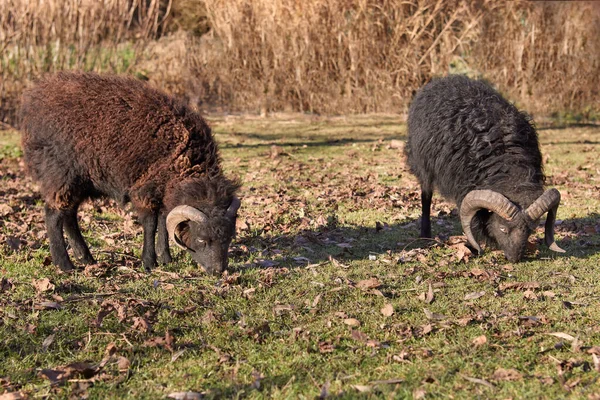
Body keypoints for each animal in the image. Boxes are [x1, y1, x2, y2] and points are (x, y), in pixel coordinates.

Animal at [21, 72, 241, 274]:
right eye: (202, 239)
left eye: (229, 238)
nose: (219, 271)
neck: (186, 160)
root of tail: (33, 104)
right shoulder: (145, 190)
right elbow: (151, 224)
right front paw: (149, 262)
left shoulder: (161, 190)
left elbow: (164, 221)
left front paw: (166, 258)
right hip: (60, 173)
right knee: (53, 215)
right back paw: (64, 265)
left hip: (78, 182)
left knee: (69, 216)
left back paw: (86, 258)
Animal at [406, 75, 564, 262]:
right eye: (503, 228)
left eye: (530, 230)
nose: (514, 258)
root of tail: (445, 79)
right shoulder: (465, 185)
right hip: (423, 166)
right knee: (426, 195)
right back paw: (425, 234)